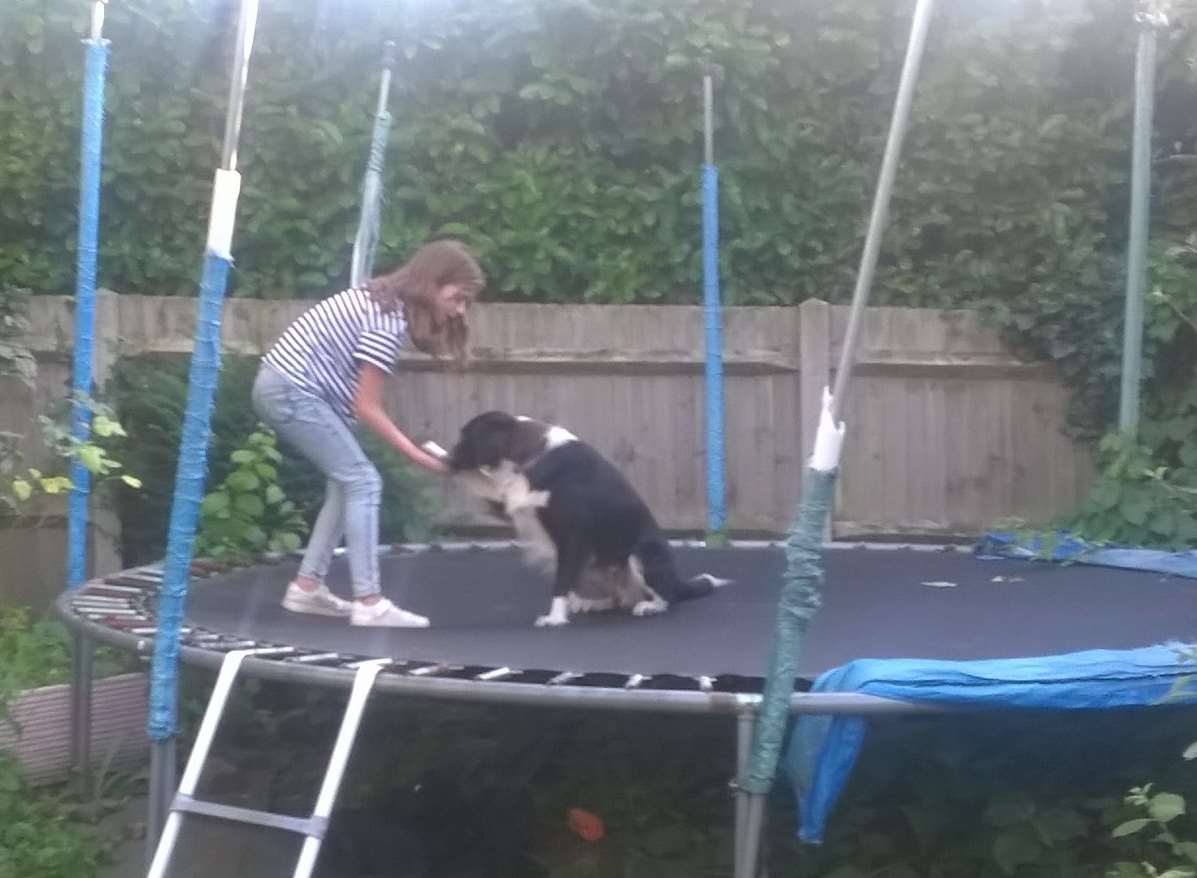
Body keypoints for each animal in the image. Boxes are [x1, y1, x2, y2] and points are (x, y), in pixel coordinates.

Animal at [430, 411, 727, 626]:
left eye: (465, 437)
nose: (448, 459)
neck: (533, 452)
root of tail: (676, 580)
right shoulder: (513, 505)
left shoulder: (572, 536)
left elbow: (561, 583)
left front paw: (555, 617)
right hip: (596, 565)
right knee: (619, 597)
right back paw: (594, 603)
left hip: (643, 552)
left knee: (666, 596)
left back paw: (650, 606)